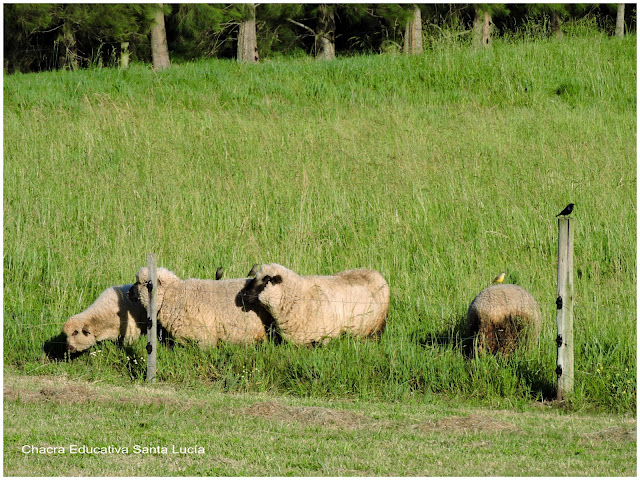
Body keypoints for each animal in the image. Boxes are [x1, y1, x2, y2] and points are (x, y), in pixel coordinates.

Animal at [241, 262, 388, 344]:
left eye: (266, 280)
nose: (244, 294)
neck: (299, 294)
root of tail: (376, 273)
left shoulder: (324, 338)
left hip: (377, 327)